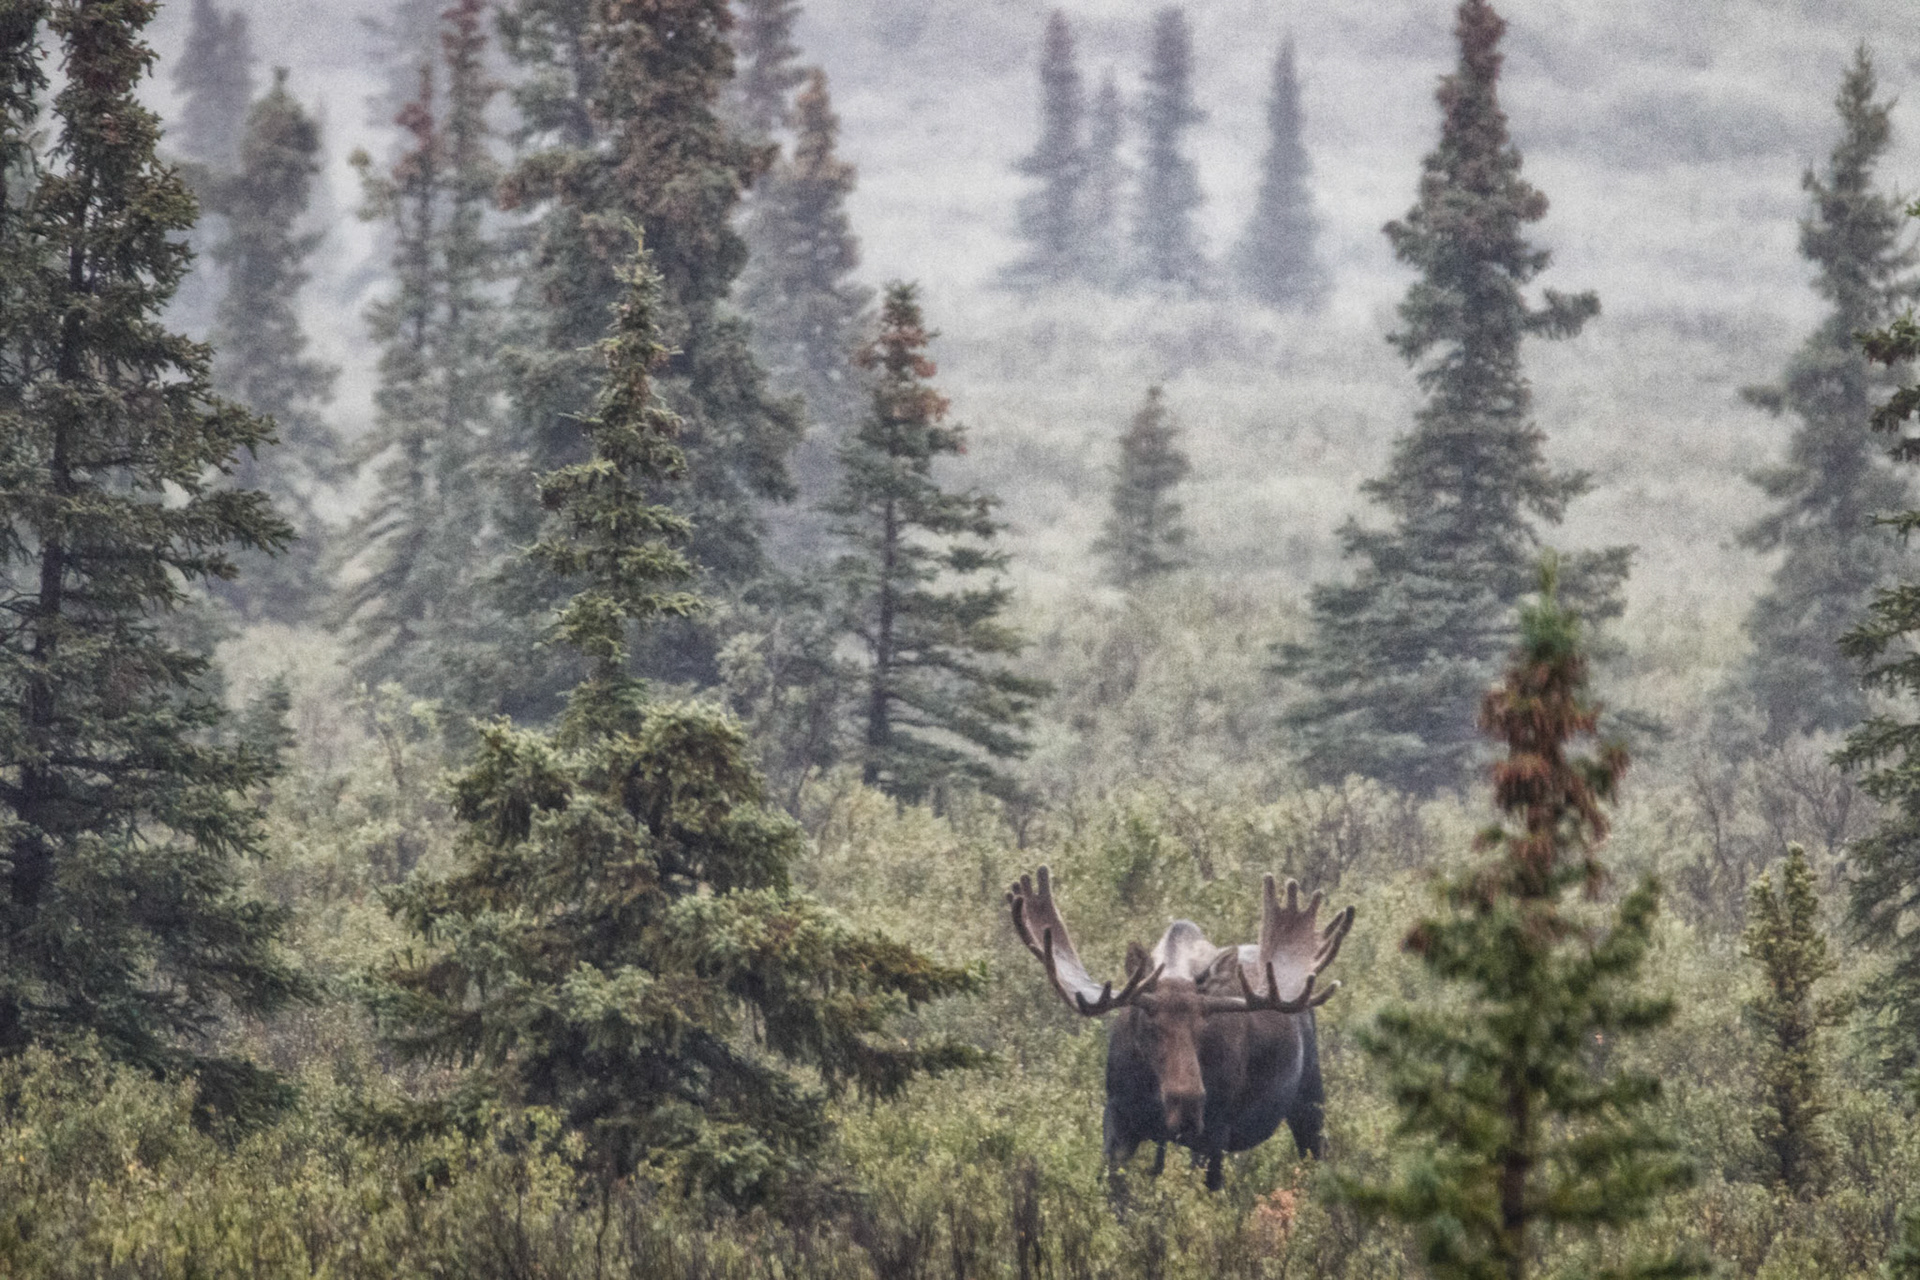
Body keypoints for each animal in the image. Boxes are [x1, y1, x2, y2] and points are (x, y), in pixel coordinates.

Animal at [1007, 866, 1354, 1192]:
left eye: (1205, 1024)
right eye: (1148, 1022)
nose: (1186, 1102)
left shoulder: (1214, 1133)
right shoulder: (1118, 1118)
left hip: (1310, 1100)